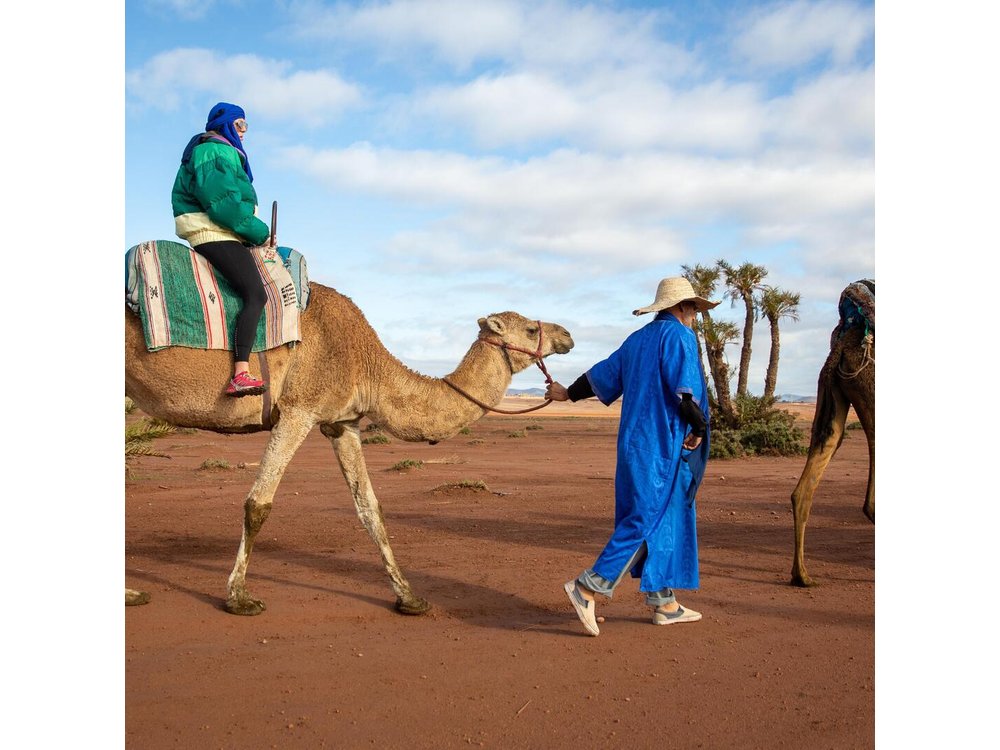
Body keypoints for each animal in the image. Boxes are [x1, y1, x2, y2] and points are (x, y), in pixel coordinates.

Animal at [125, 282, 574, 615]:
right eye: (531, 330)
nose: (568, 334)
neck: (367, 363)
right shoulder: (299, 410)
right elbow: (258, 504)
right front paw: (238, 597)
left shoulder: (341, 423)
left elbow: (370, 508)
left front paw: (410, 597)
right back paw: (133, 595)